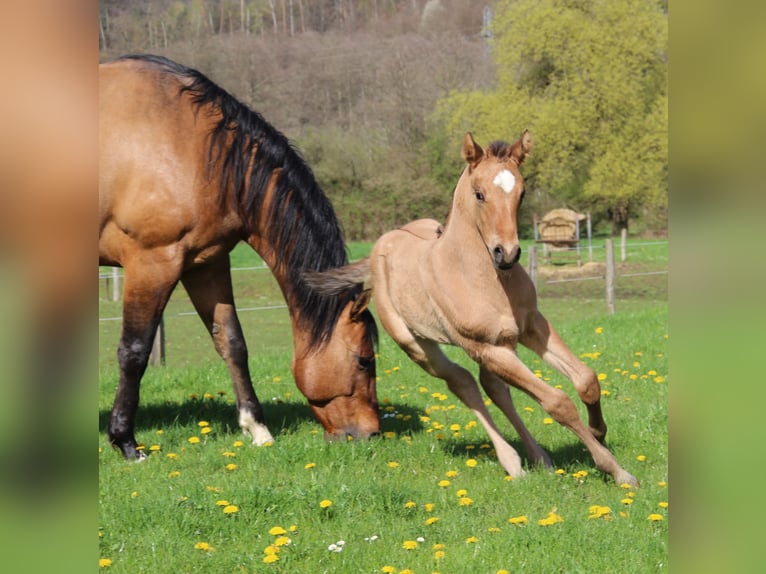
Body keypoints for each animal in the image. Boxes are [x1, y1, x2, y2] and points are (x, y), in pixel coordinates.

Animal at [99, 53, 380, 460]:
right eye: (364, 359)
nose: (371, 434)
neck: (194, 145)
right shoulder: (152, 263)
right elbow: (134, 352)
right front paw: (125, 441)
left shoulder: (206, 264)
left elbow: (232, 343)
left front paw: (257, 428)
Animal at [308, 133, 640, 488]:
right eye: (479, 194)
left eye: (521, 193)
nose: (506, 253)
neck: (480, 277)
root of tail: (378, 249)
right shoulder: (486, 347)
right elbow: (557, 402)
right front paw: (615, 469)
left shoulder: (531, 327)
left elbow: (586, 379)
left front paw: (599, 432)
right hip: (420, 347)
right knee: (463, 384)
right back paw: (513, 462)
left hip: (502, 344)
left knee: (493, 388)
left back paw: (539, 457)